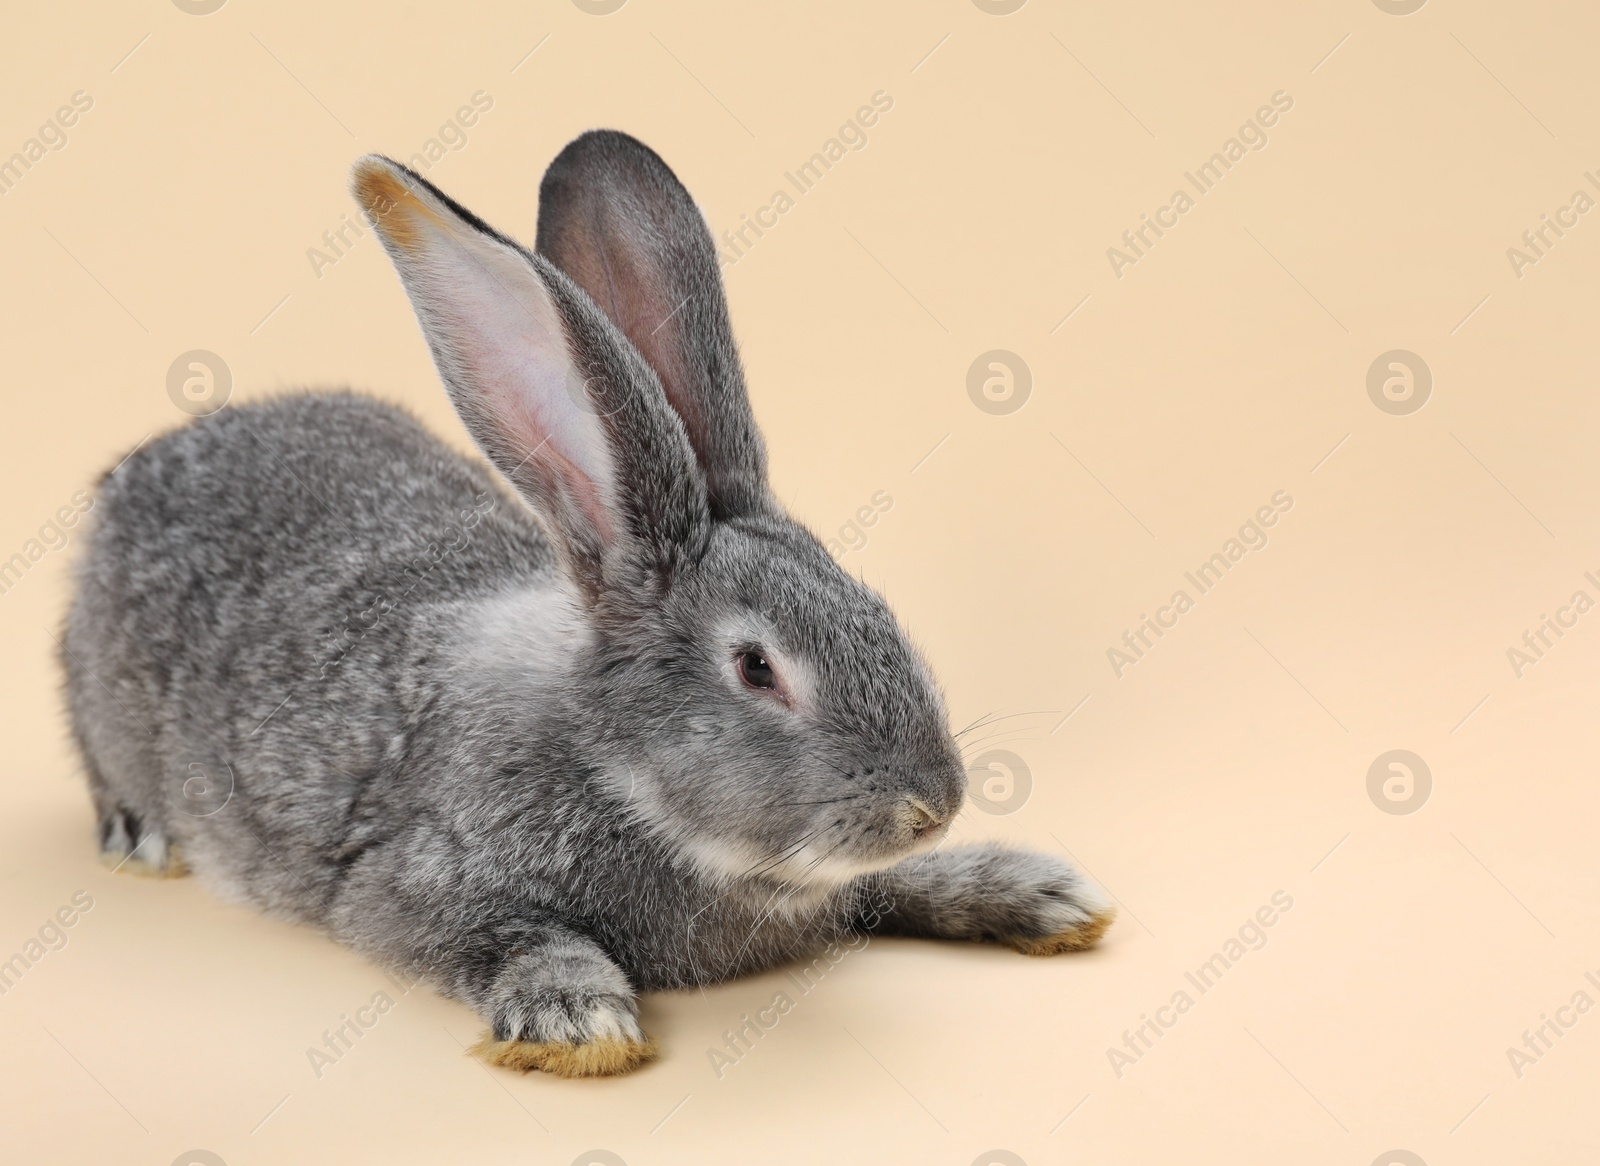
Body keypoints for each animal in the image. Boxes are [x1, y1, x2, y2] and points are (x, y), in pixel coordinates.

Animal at [62, 127, 1113, 1074]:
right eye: (756, 669)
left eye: (881, 614)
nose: (932, 806)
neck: (614, 766)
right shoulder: (409, 885)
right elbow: (512, 934)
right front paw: (575, 1019)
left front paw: (1042, 896)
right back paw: (141, 840)